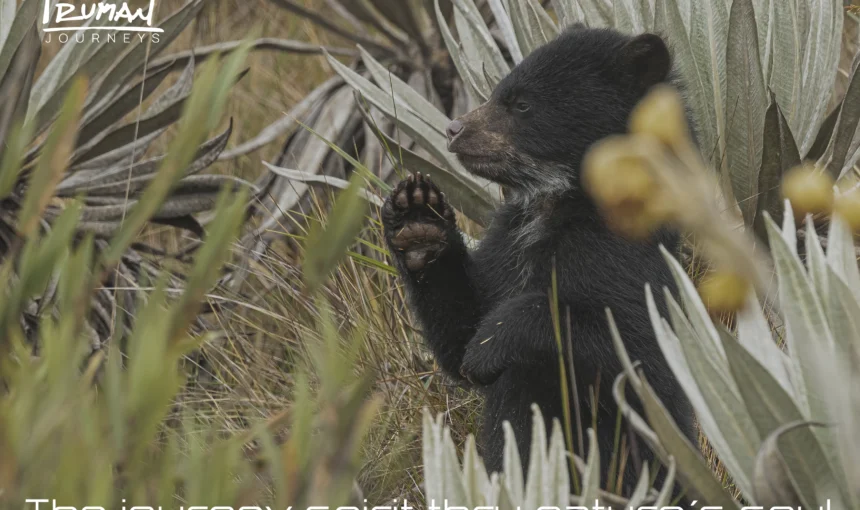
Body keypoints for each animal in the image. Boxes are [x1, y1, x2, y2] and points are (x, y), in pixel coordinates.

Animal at [381, 26, 696, 497]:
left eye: (522, 104)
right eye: (499, 91)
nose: (453, 128)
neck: (552, 208)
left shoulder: (623, 260)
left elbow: (630, 345)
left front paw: (488, 347)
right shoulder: (506, 244)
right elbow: (460, 326)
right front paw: (417, 218)